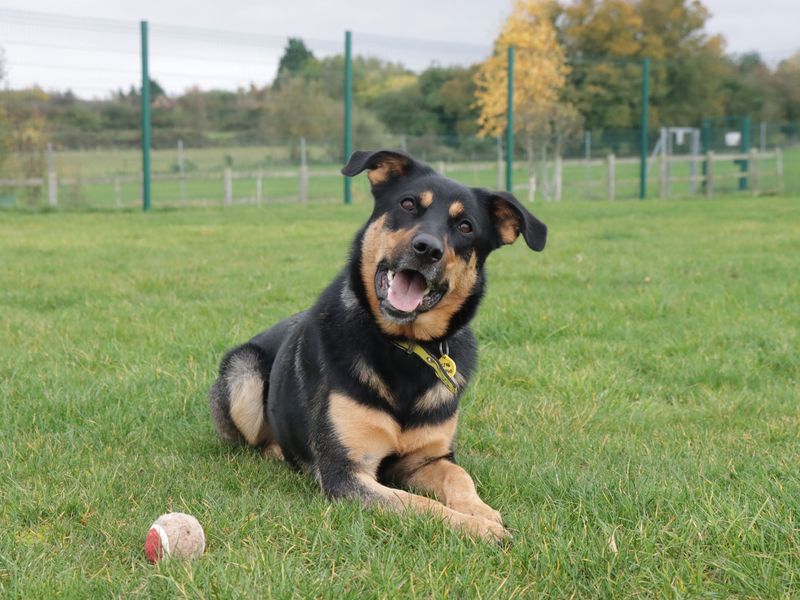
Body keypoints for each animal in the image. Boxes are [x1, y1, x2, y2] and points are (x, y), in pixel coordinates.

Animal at [209, 149, 548, 540]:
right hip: (243, 373)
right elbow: (420, 505)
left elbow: (459, 477)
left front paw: (481, 511)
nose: (426, 249)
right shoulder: (346, 473)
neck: (404, 346)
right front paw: (478, 528)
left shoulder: (428, 459)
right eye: (408, 203)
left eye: (466, 227)